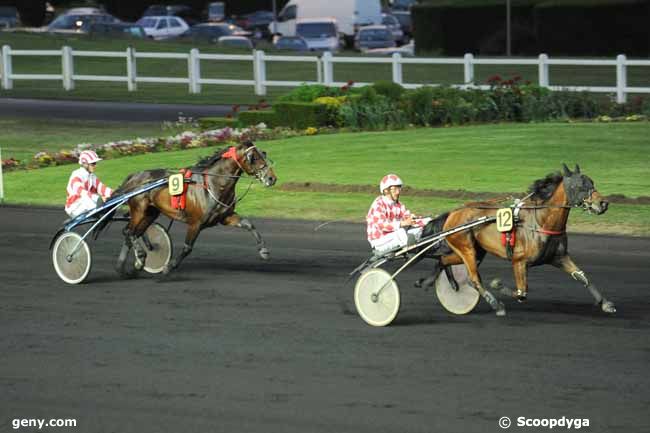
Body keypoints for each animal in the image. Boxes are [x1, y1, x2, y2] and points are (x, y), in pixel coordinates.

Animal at [109, 140, 276, 272]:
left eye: (263, 154)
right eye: (253, 157)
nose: (272, 178)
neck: (213, 184)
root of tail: (134, 176)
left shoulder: (225, 217)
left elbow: (249, 224)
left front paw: (264, 251)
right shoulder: (196, 223)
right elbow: (187, 247)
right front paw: (169, 267)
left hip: (150, 213)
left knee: (133, 233)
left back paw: (126, 266)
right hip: (139, 210)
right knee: (129, 232)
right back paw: (140, 256)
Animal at [416, 164, 612, 316]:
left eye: (592, 182)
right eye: (580, 185)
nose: (603, 203)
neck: (540, 221)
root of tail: (453, 213)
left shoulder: (559, 257)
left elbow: (582, 277)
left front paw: (605, 303)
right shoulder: (519, 261)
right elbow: (521, 293)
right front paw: (497, 285)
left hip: (474, 251)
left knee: (443, 260)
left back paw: (430, 282)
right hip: (466, 249)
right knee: (473, 279)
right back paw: (496, 305)